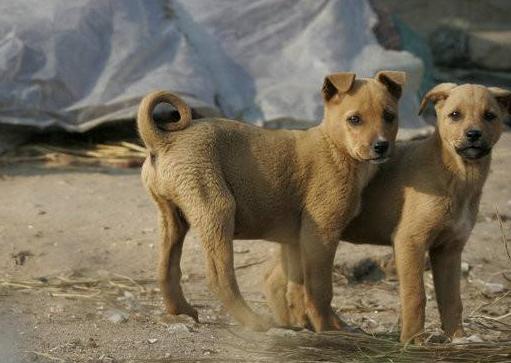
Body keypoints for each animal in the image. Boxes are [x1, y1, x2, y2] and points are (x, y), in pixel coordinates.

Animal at [138, 71, 406, 332]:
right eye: (354, 119)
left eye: (389, 116)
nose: (381, 146)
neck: (335, 148)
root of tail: (164, 141)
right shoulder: (321, 235)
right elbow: (319, 290)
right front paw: (329, 328)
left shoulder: (296, 240)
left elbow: (295, 288)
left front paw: (307, 324)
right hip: (217, 210)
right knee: (219, 278)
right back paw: (253, 321)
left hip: (172, 218)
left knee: (167, 270)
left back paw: (181, 310)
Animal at [266, 82, 510, 342]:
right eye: (455, 115)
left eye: (490, 116)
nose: (473, 134)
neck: (457, 174)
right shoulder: (410, 241)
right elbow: (416, 296)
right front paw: (413, 341)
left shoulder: (449, 249)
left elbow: (452, 300)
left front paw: (458, 338)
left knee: (275, 280)